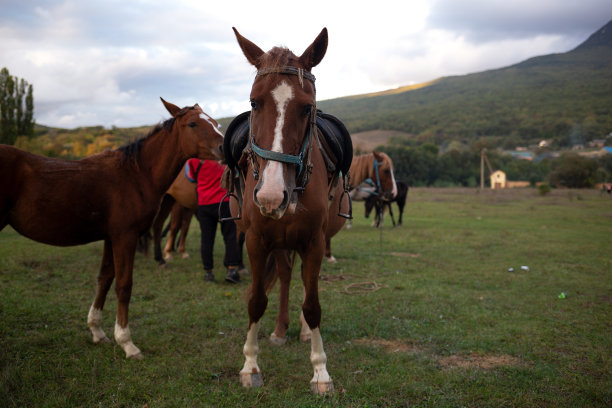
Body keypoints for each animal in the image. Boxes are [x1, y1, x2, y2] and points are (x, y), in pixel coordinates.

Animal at [0, 99, 225, 360]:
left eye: (215, 122)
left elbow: (105, 279)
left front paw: (97, 331)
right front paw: (127, 342)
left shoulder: (111, 238)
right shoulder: (125, 237)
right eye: (192, 124)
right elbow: (124, 285)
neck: (136, 174)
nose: (224, 146)